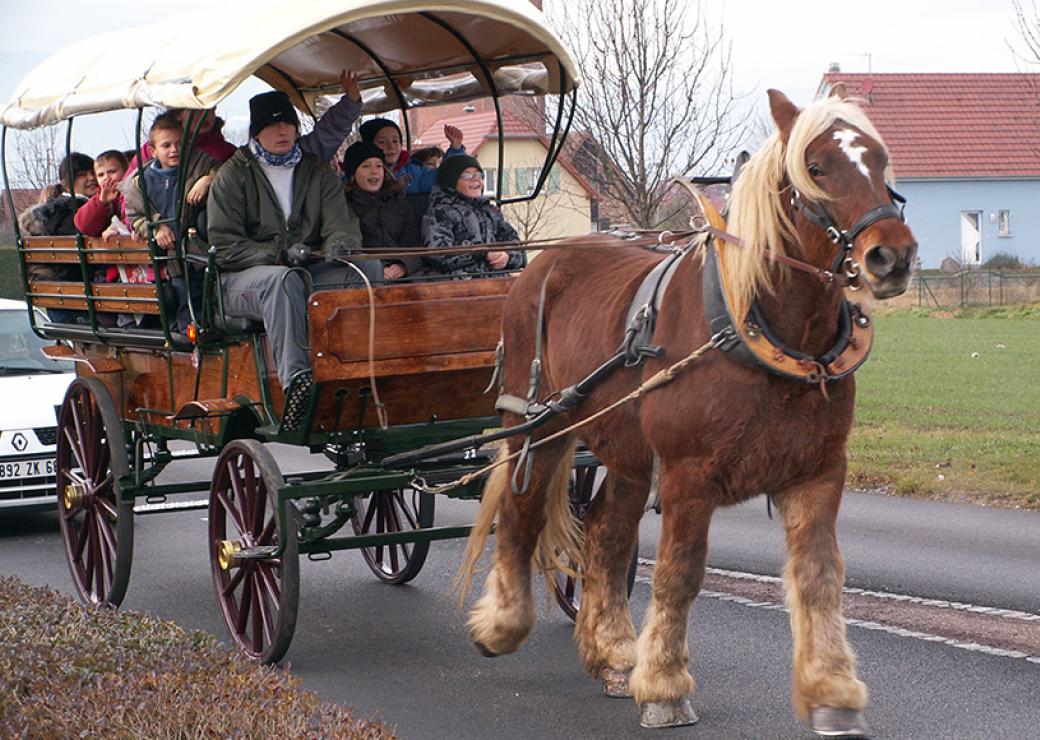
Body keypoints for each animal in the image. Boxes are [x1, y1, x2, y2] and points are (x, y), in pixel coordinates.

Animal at [459, 89, 915, 735]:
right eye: (817, 167)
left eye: (878, 159)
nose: (891, 255)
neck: (759, 327)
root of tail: (544, 264)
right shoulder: (687, 477)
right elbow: (679, 574)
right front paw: (665, 687)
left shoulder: (819, 472)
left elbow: (820, 576)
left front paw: (832, 689)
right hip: (539, 425)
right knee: (520, 514)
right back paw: (502, 624)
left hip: (624, 450)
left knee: (605, 532)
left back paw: (613, 652)